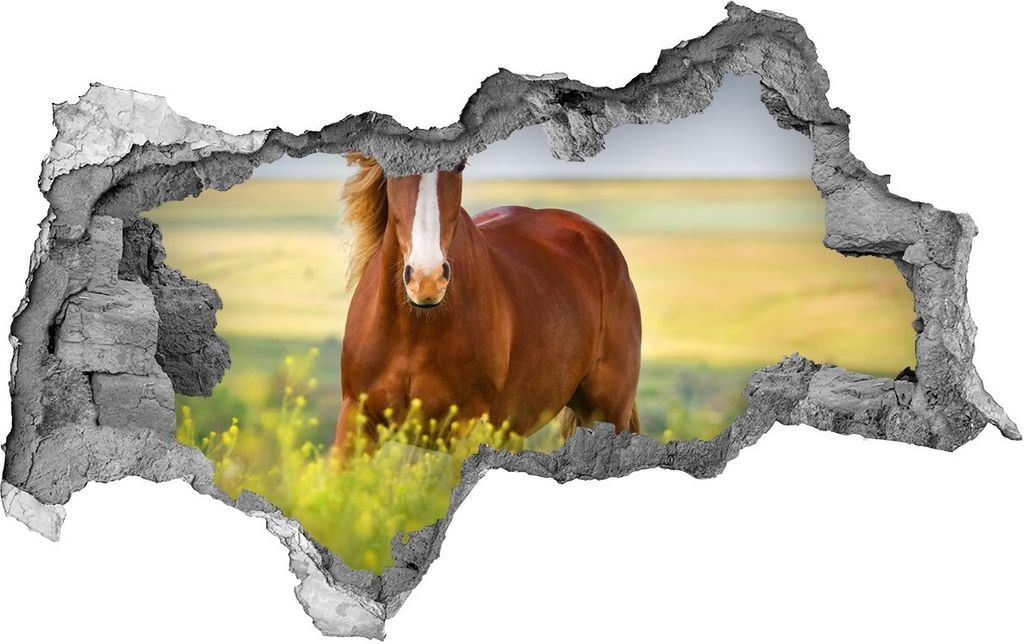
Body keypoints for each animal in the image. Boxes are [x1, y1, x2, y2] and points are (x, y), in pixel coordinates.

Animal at [334, 152, 642, 450]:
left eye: (459, 164)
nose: (427, 279)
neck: (415, 327)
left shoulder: (467, 430)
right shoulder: (356, 419)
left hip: (607, 413)